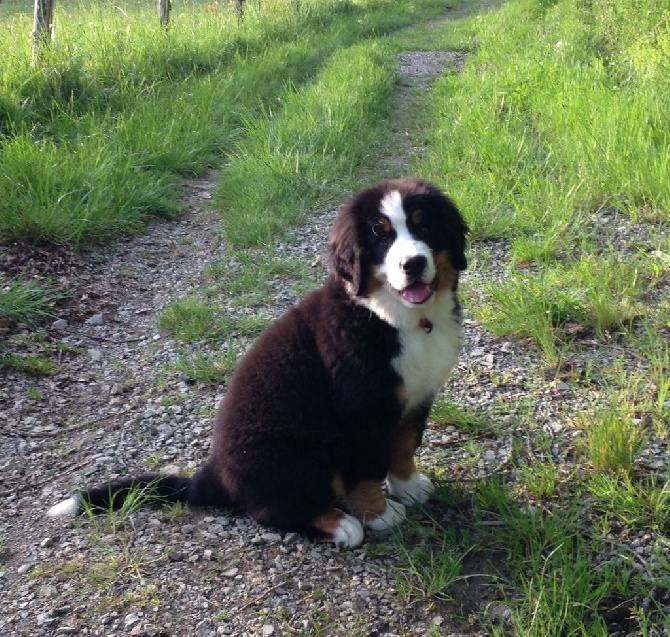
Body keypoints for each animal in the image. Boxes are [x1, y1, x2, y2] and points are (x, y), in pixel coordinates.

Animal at [48, 178, 468, 548]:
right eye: (380, 235)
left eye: (424, 225)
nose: (413, 263)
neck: (395, 318)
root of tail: (214, 475)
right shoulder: (361, 414)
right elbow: (365, 471)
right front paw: (379, 514)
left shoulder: (416, 398)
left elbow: (403, 448)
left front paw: (409, 488)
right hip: (299, 454)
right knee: (272, 510)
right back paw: (341, 524)